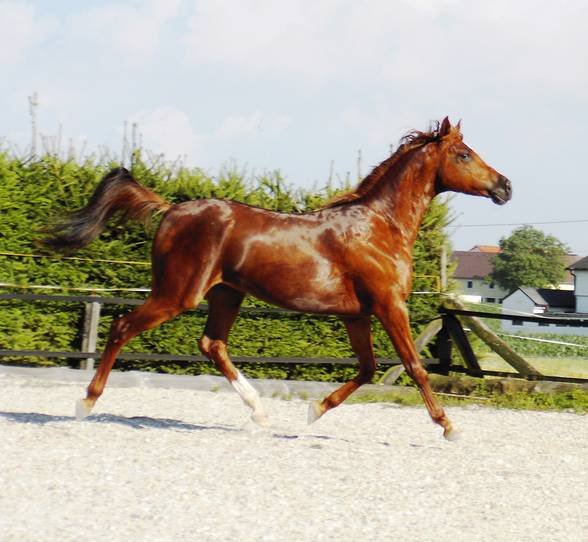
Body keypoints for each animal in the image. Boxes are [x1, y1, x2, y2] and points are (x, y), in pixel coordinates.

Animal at [41, 117, 510, 440]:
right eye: (464, 154)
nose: (505, 186)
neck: (380, 226)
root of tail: (172, 209)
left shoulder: (356, 315)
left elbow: (368, 368)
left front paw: (313, 412)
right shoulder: (389, 305)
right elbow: (413, 366)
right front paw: (449, 426)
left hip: (226, 294)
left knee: (212, 344)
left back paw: (259, 412)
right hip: (178, 294)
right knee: (122, 327)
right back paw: (85, 403)